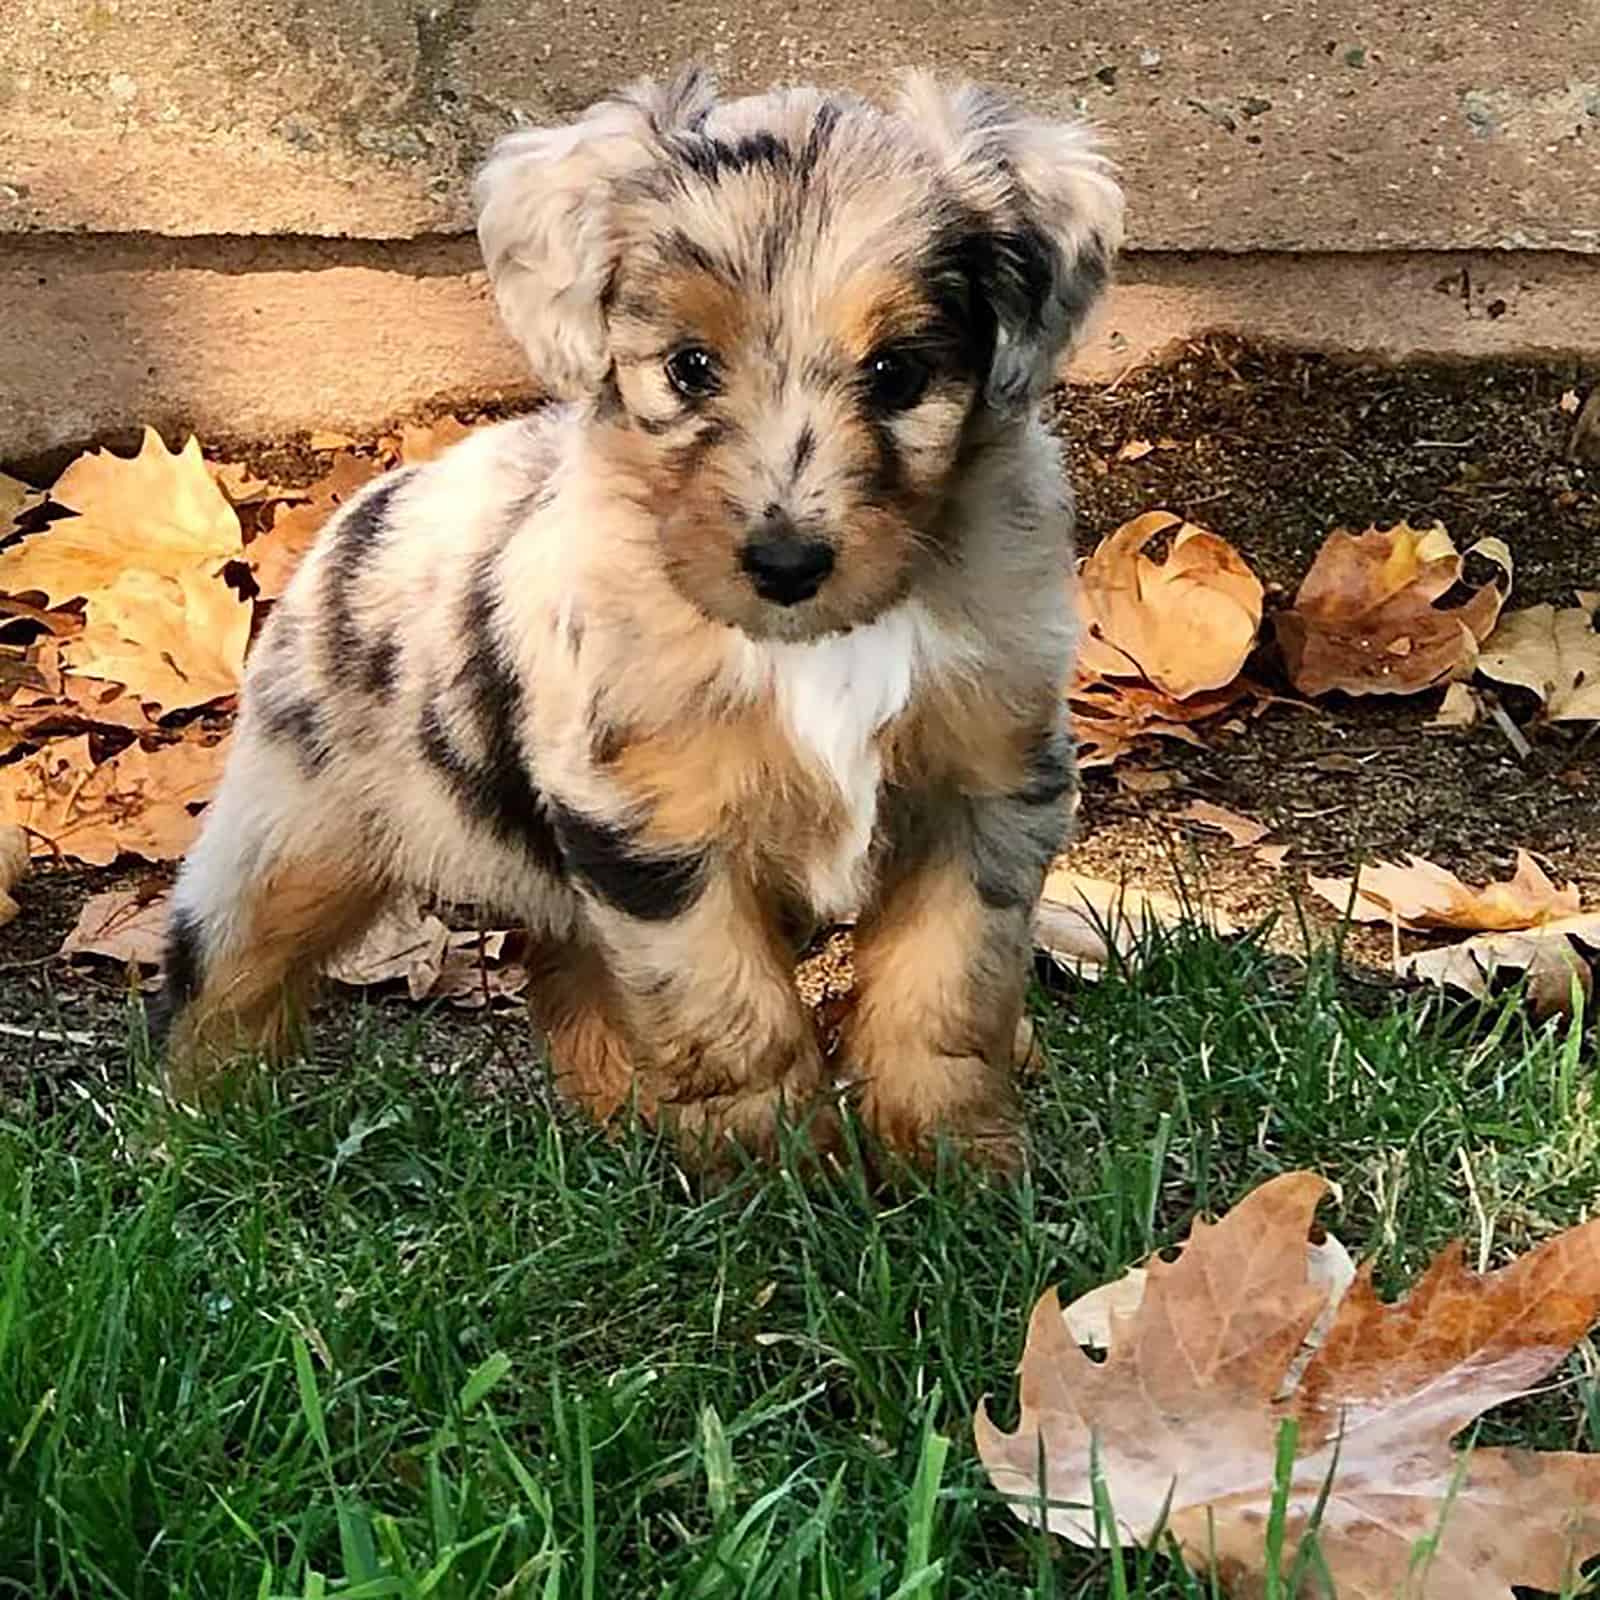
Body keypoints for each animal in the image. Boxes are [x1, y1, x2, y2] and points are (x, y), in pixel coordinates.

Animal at [156, 68, 1120, 1171]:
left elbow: (946, 993)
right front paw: (775, 1181)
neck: (817, 646)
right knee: (225, 970)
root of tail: (369, 499)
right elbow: (731, 1017)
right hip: (294, 823)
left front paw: (956, 1170)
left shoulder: (986, 788)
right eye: (690, 368)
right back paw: (192, 1137)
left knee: (569, 979)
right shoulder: (654, 826)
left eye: (898, 374)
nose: (785, 565)